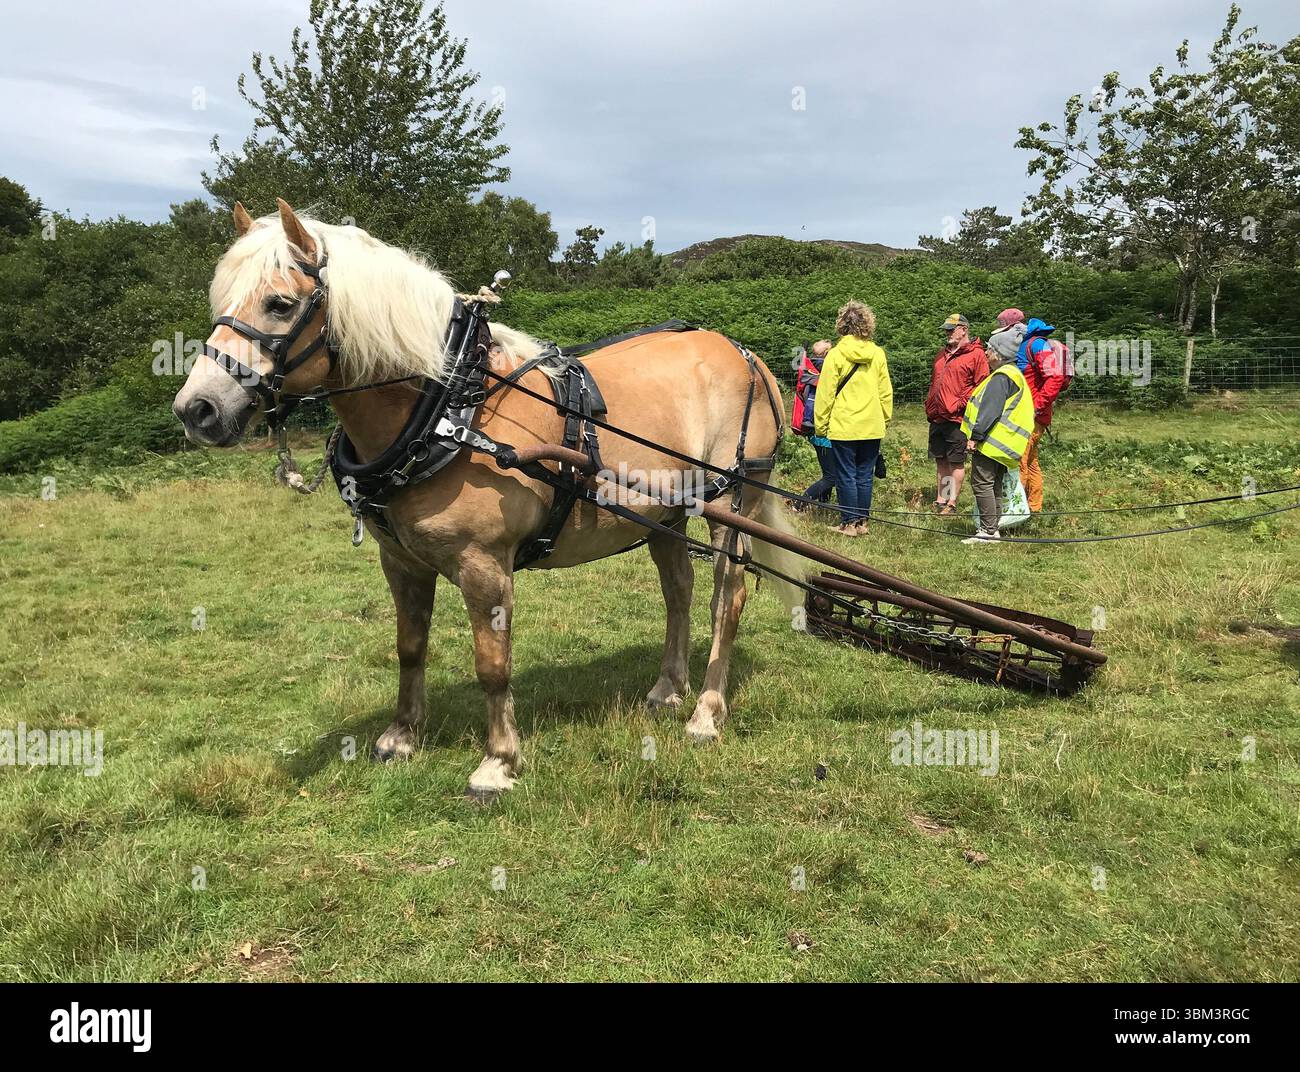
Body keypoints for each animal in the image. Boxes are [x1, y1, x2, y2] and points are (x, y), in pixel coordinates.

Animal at [173, 199, 803, 800]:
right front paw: (401, 736)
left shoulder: (485, 565)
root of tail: (743, 352)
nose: (197, 409)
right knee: (679, 592)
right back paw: (667, 688)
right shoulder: (399, 561)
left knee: (728, 597)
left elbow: (492, 664)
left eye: (279, 304)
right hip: (664, 514)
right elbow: (409, 646)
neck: (451, 410)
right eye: (221, 297)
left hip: (735, 502)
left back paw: (706, 712)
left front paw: (498, 763)